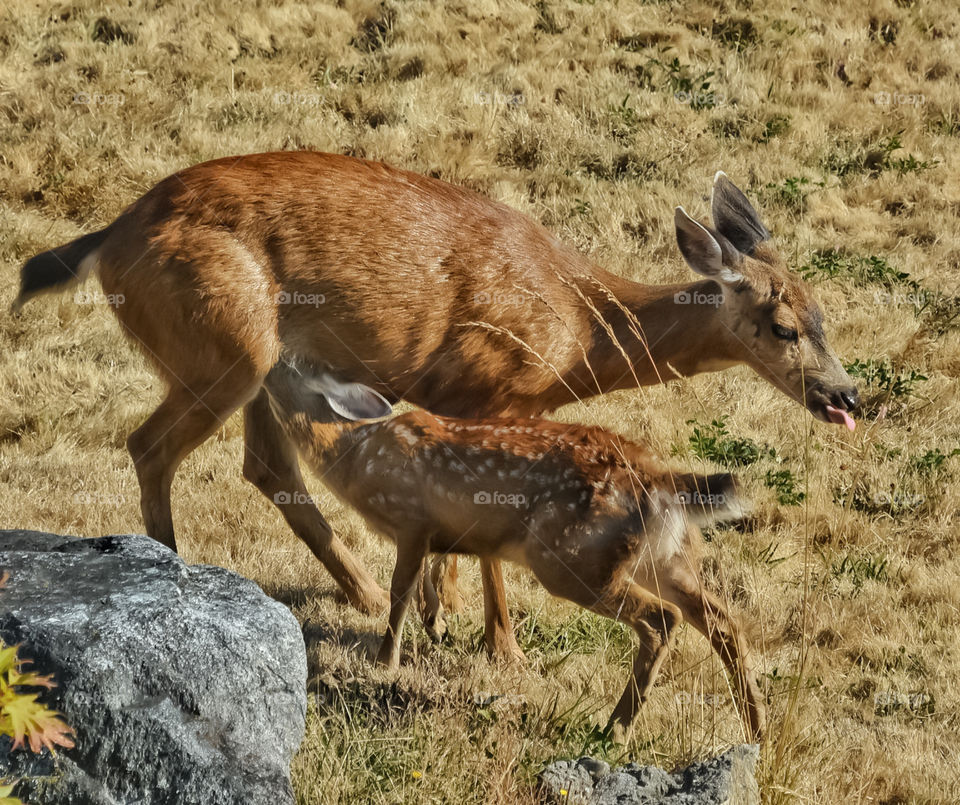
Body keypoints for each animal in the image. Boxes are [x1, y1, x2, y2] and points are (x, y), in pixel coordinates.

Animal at [15, 151, 860, 660]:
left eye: (827, 313)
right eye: (783, 326)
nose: (846, 396)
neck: (578, 331)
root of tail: (110, 238)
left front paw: (452, 620)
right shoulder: (477, 387)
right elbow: (481, 528)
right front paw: (488, 640)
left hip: (257, 363)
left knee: (265, 465)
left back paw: (354, 590)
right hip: (224, 345)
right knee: (151, 445)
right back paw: (177, 572)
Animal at [262, 358, 764, 740]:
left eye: (291, 367)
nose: (265, 365)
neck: (356, 455)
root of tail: (662, 482)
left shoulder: (411, 519)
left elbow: (399, 591)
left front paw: (385, 663)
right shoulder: (436, 532)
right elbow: (432, 575)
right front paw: (437, 626)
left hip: (572, 557)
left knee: (665, 619)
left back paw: (617, 730)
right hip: (663, 558)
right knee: (723, 620)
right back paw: (755, 728)